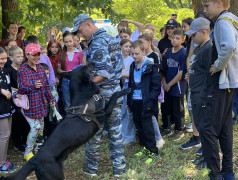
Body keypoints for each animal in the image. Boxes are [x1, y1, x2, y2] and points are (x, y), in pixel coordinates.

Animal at [0, 62, 129, 179]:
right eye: (87, 66)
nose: (93, 62)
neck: (82, 98)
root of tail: (34, 159)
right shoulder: (104, 114)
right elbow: (114, 95)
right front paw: (126, 90)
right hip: (56, 174)